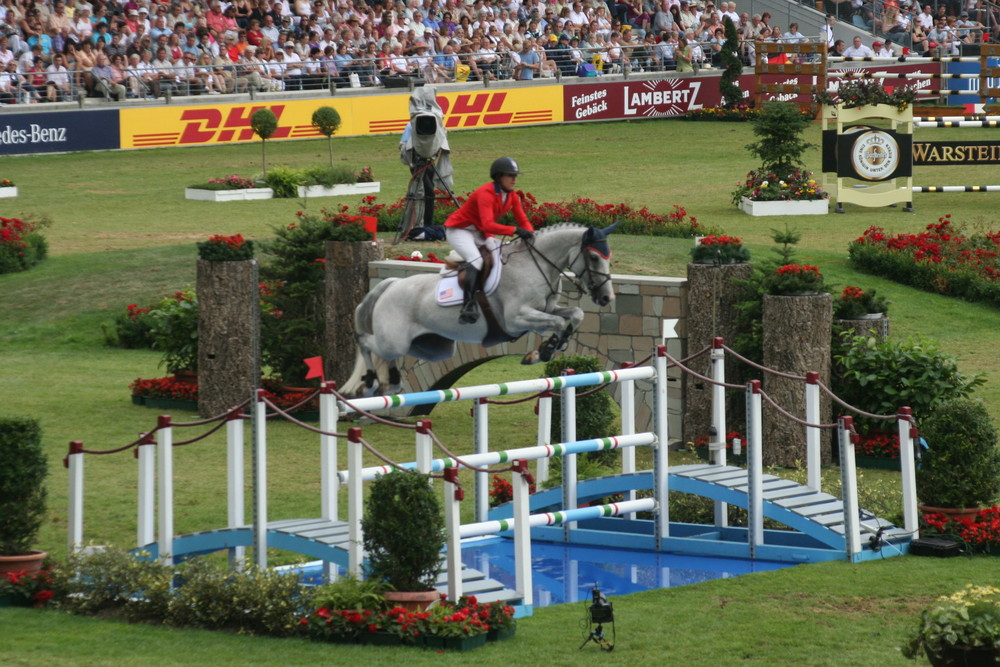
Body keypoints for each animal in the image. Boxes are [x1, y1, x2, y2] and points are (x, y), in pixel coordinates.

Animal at [348, 222, 620, 396]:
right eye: (594, 257)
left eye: (608, 257)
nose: (607, 297)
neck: (535, 265)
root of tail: (391, 285)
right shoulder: (516, 320)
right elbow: (559, 323)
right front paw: (543, 351)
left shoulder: (548, 308)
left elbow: (575, 315)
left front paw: (547, 349)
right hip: (394, 341)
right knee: (366, 342)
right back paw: (370, 383)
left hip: (428, 348)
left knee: (386, 354)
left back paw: (392, 383)